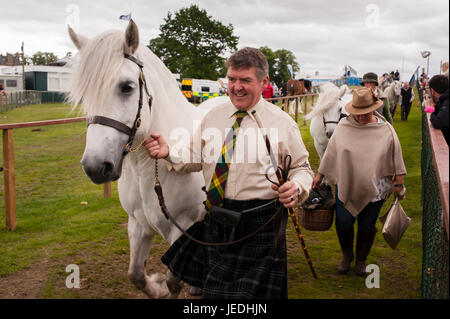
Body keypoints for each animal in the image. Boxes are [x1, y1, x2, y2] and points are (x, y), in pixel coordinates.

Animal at [67, 20, 221, 300]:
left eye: (127, 87)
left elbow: (173, 282)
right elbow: (136, 275)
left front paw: (164, 287)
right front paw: (156, 287)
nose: (96, 167)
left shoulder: (182, 230)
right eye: (85, 96)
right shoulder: (138, 224)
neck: (147, 169)